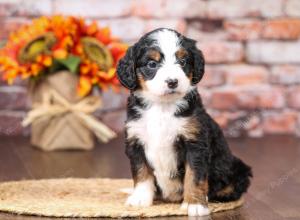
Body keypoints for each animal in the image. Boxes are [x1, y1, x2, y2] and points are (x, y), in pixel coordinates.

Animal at [116, 27, 252, 217]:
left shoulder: (194, 143)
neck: (162, 107)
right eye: (152, 64)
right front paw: (140, 198)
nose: (172, 82)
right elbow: (141, 171)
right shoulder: (135, 140)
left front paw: (194, 204)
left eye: (183, 61)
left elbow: (194, 176)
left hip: (238, 168)